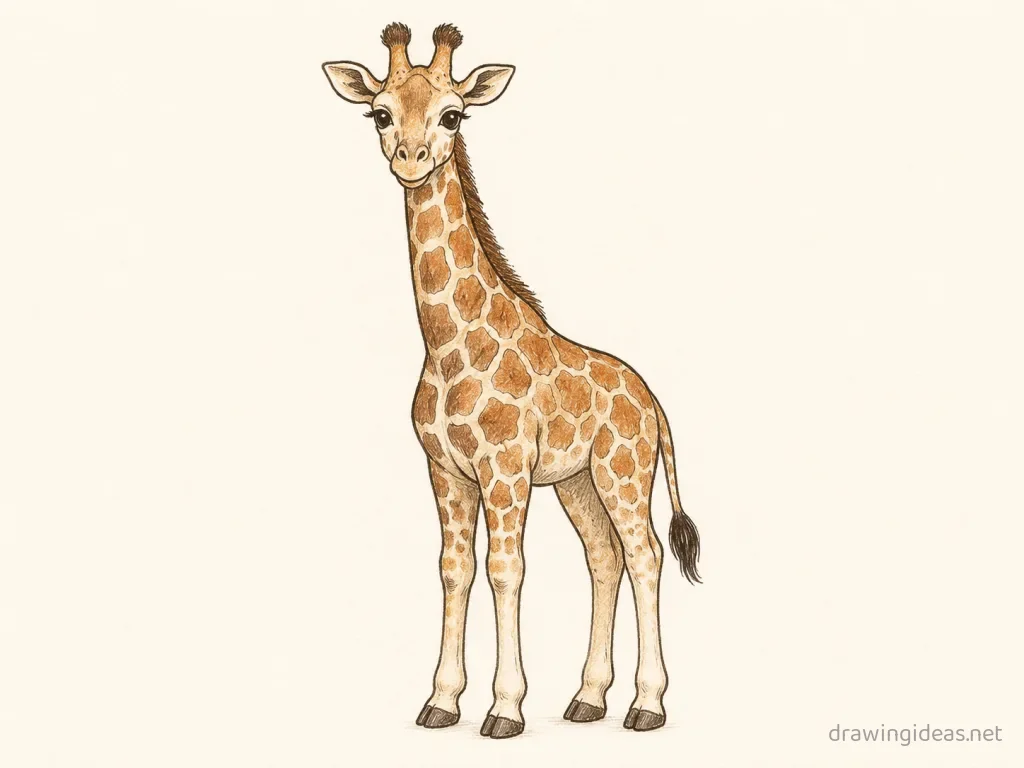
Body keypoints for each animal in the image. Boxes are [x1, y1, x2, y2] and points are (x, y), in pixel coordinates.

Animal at [323, 23, 701, 739]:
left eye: (453, 114)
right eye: (379, 113)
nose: (411, 159)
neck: (447, 345)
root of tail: (654, 404)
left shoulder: (504, 468)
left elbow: (505, 570)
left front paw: (504, 709)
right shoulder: (446, 468)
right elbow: (454, 570)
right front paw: (442, 702)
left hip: (623, 472)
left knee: (645, 557)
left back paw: (646, 706)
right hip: (579, 482)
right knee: (604, 557)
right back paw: (588, 699)